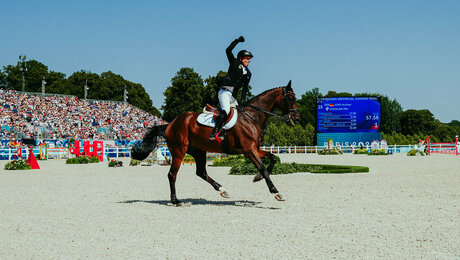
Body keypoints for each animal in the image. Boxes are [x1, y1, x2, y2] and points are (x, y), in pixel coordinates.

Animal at [131, 80, 300, 206]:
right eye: (290, 98)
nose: (297, 118)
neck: (252, 117)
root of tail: (170, 124)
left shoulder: (255, 149)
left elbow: (272, 158)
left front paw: (256, 177)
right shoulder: (249, 150)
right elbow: (264, 168)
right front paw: (276, 192)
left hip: (198, 151)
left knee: (201, 172)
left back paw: (222, 190)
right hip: (179, 151)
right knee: (172, 174)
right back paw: (176, 201)